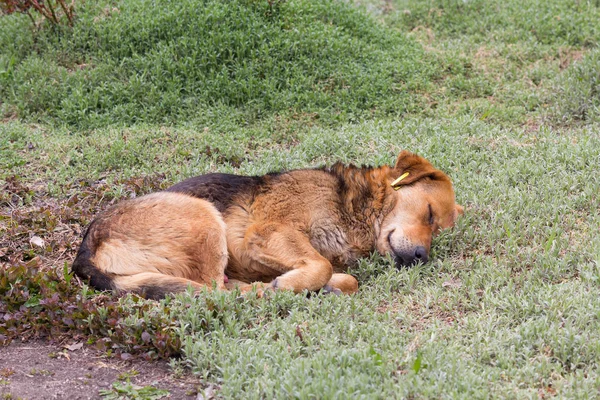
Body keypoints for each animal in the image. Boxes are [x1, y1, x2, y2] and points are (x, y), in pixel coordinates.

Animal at [71, 152, 464, 298]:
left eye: (438, 233)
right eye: (430, 214)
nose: (421, 258)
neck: (353, 208)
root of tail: (85, 252)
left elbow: (342, 275)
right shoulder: (266, 232)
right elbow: (320, 265)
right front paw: (291, 284)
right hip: (202, 216)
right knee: (214, 290)